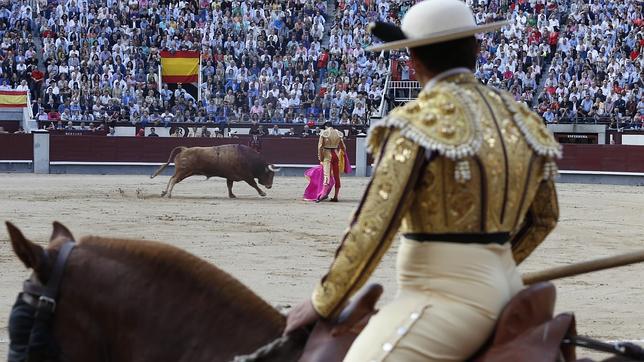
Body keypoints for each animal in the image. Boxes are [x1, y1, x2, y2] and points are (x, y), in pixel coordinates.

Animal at [152, 144, 284, 198]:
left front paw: (232, 195)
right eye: (269, 174)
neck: (247, 157)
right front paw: (262, 193)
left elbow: (229, 186)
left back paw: (164, 192)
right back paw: (168, 194)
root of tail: (184, 149)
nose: (270, 186)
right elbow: (254, 184)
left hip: (184, 172)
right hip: (184, 171)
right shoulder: (246, 175)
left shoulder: (230, 176)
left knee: (172, 178)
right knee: (174, 179)